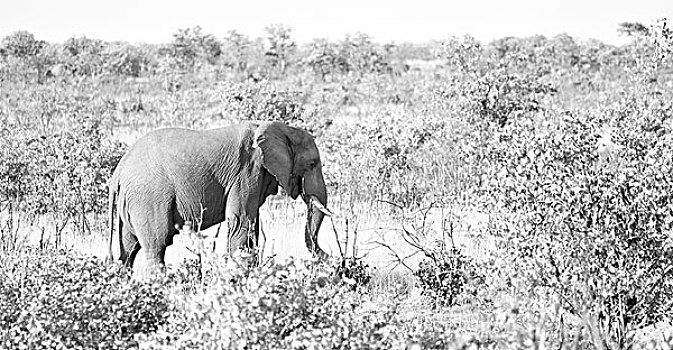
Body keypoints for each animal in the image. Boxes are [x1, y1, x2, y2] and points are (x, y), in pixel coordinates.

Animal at [105, 120, 330, 276]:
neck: (280, 128)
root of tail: (118, 172)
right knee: (156, 246)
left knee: (128, 250)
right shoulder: (247, 172)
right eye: (312, 164)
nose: (328, 256)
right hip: (149, 199)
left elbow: (252, 226)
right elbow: (241, 223)